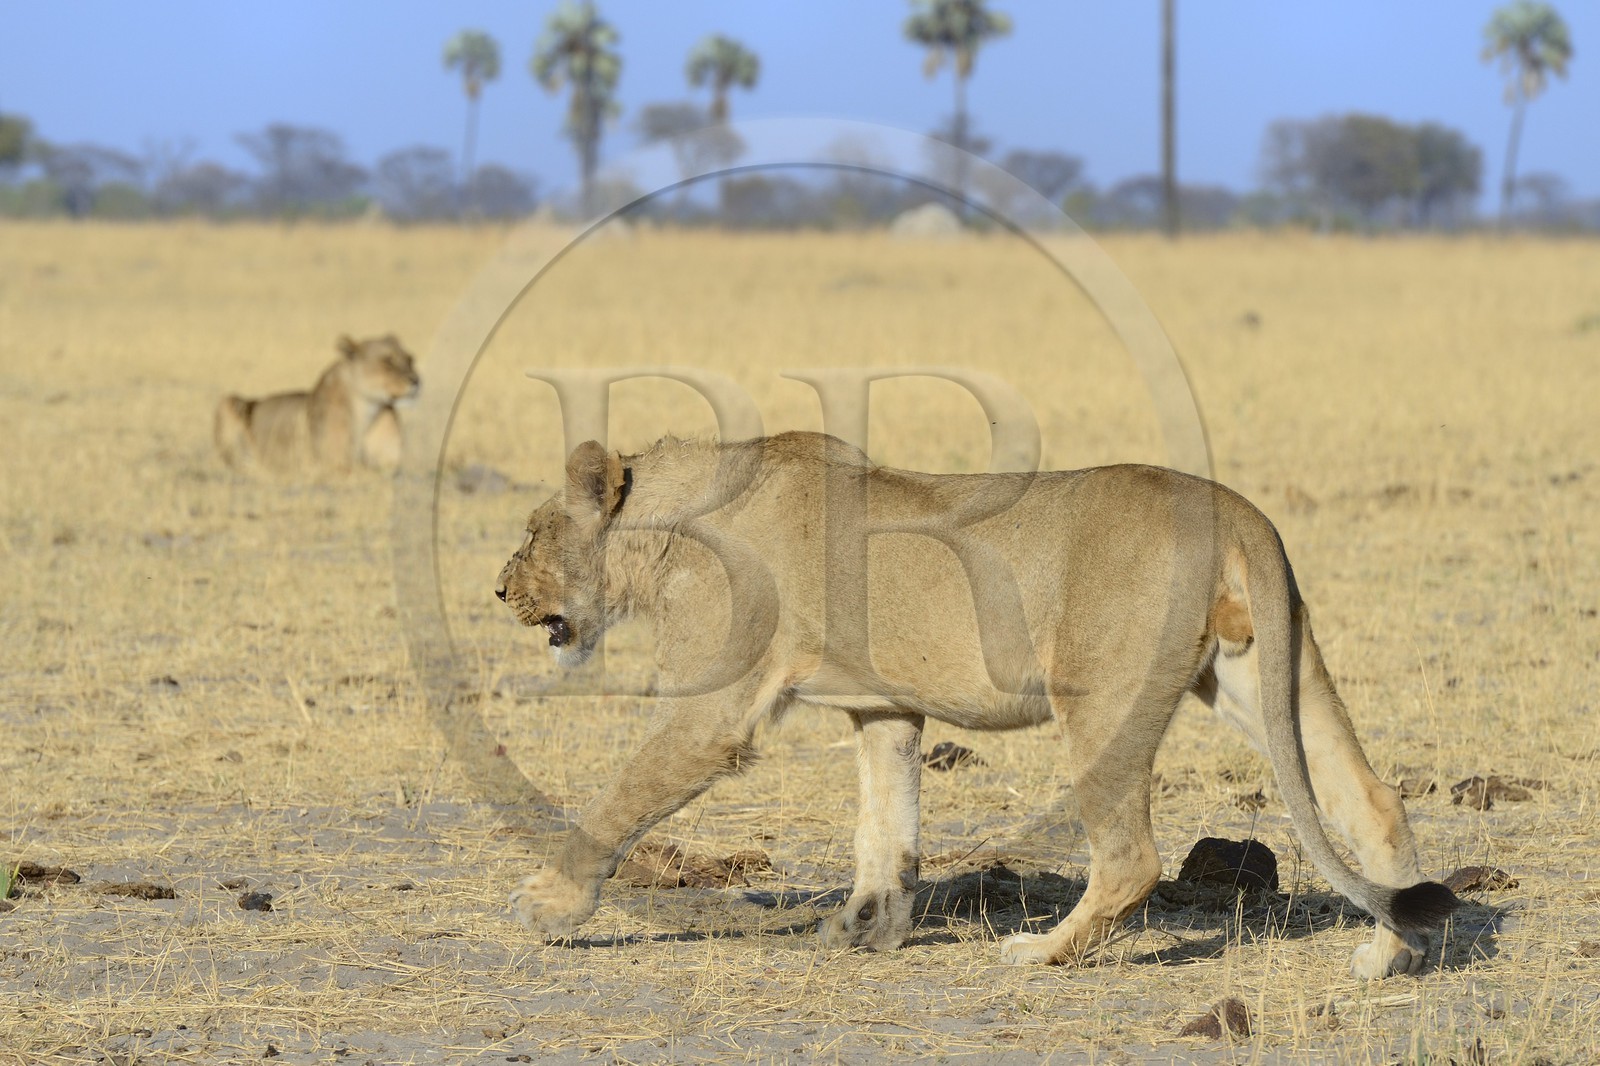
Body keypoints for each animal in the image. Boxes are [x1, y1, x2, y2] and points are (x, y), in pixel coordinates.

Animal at [213, 334, 419, 475]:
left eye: (410, 360)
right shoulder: (332, 464)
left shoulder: (391, 463)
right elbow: (362, 469)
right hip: (228, 401)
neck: (369, 411)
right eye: (388, 362)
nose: (416, 381)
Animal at [495, 432, 1457, 977]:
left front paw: (546, 905)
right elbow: (886, 827)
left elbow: (621, 800)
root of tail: (1236, 508)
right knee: (1373, 800)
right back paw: (1385, 953)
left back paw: (1040, 954)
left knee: (1131, 858)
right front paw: (866, 929)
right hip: (1264, 677)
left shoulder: (715, 711)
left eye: (533, 534)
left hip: (1100, 698)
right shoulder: (884, 709)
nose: (499, 588)